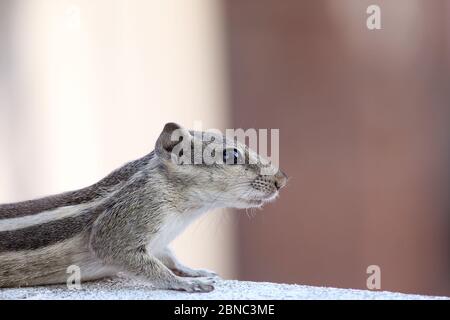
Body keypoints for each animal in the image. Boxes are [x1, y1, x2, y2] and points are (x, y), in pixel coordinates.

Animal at [0, 122, 286, 292]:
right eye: (231, 155)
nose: (281, 180)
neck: (187, 210)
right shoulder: (124, 222)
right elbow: (146, 264)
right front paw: (184, 283)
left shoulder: (160, 241)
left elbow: (168, 256)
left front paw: (193, 271)